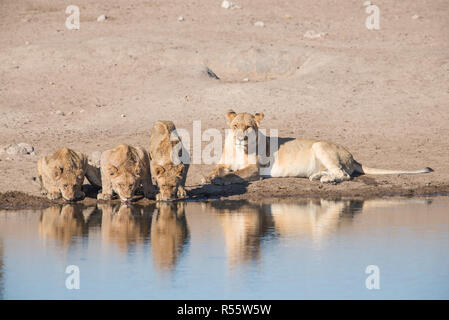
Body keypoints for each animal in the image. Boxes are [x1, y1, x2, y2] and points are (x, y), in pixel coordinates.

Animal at [202, 110, 430, 185]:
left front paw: (220, 180)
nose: (240, 137)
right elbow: (218, 168)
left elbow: (235, 174)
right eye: (235, 126)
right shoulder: (224, 162)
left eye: (248, 126)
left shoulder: (255, 170)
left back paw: (326, 179)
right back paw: (318, 176)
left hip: (321, 146)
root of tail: (352, 155)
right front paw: (207, 177)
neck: (237, 148)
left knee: (343, 174)